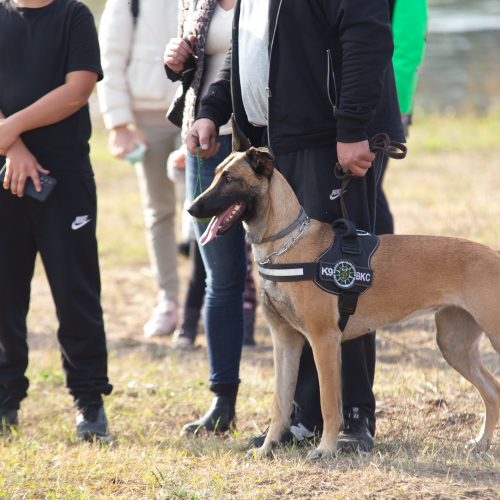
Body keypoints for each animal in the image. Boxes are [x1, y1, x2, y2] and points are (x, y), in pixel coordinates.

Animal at [188, 137, 500, 460]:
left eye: (229, 179)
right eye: (216, 175)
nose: (191, 208)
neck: (287, 242)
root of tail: (494, 254)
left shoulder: (324, 340)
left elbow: (328, 403)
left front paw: (326, 449)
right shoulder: (285, 342)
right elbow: (280, 403)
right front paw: (267, 448)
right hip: (454, 346)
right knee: (493, 391)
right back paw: (482, 442)